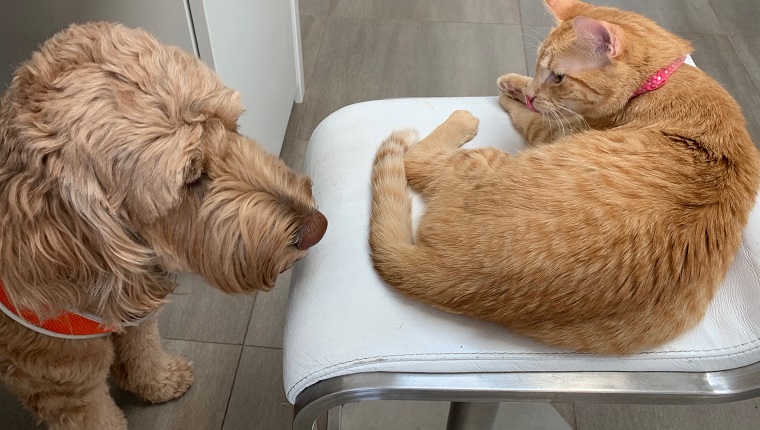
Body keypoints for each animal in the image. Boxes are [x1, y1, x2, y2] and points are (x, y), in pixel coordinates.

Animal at [0, 21, 326, 428]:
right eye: (191, 178)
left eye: (233, 125)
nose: (317, 226)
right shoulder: (60, 382)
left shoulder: (136, 314)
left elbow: (143, 347)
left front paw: (159, 382)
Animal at [368, 0, 760, 354]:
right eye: (540, 68)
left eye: (558, 76)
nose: (531, 95)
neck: (661, 81)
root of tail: (452, 274)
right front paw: (518, 84)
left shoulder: (557, 130)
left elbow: (535, 118)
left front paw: (512, 94)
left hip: (478, 160)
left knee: (415, 160)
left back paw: (463, 119)